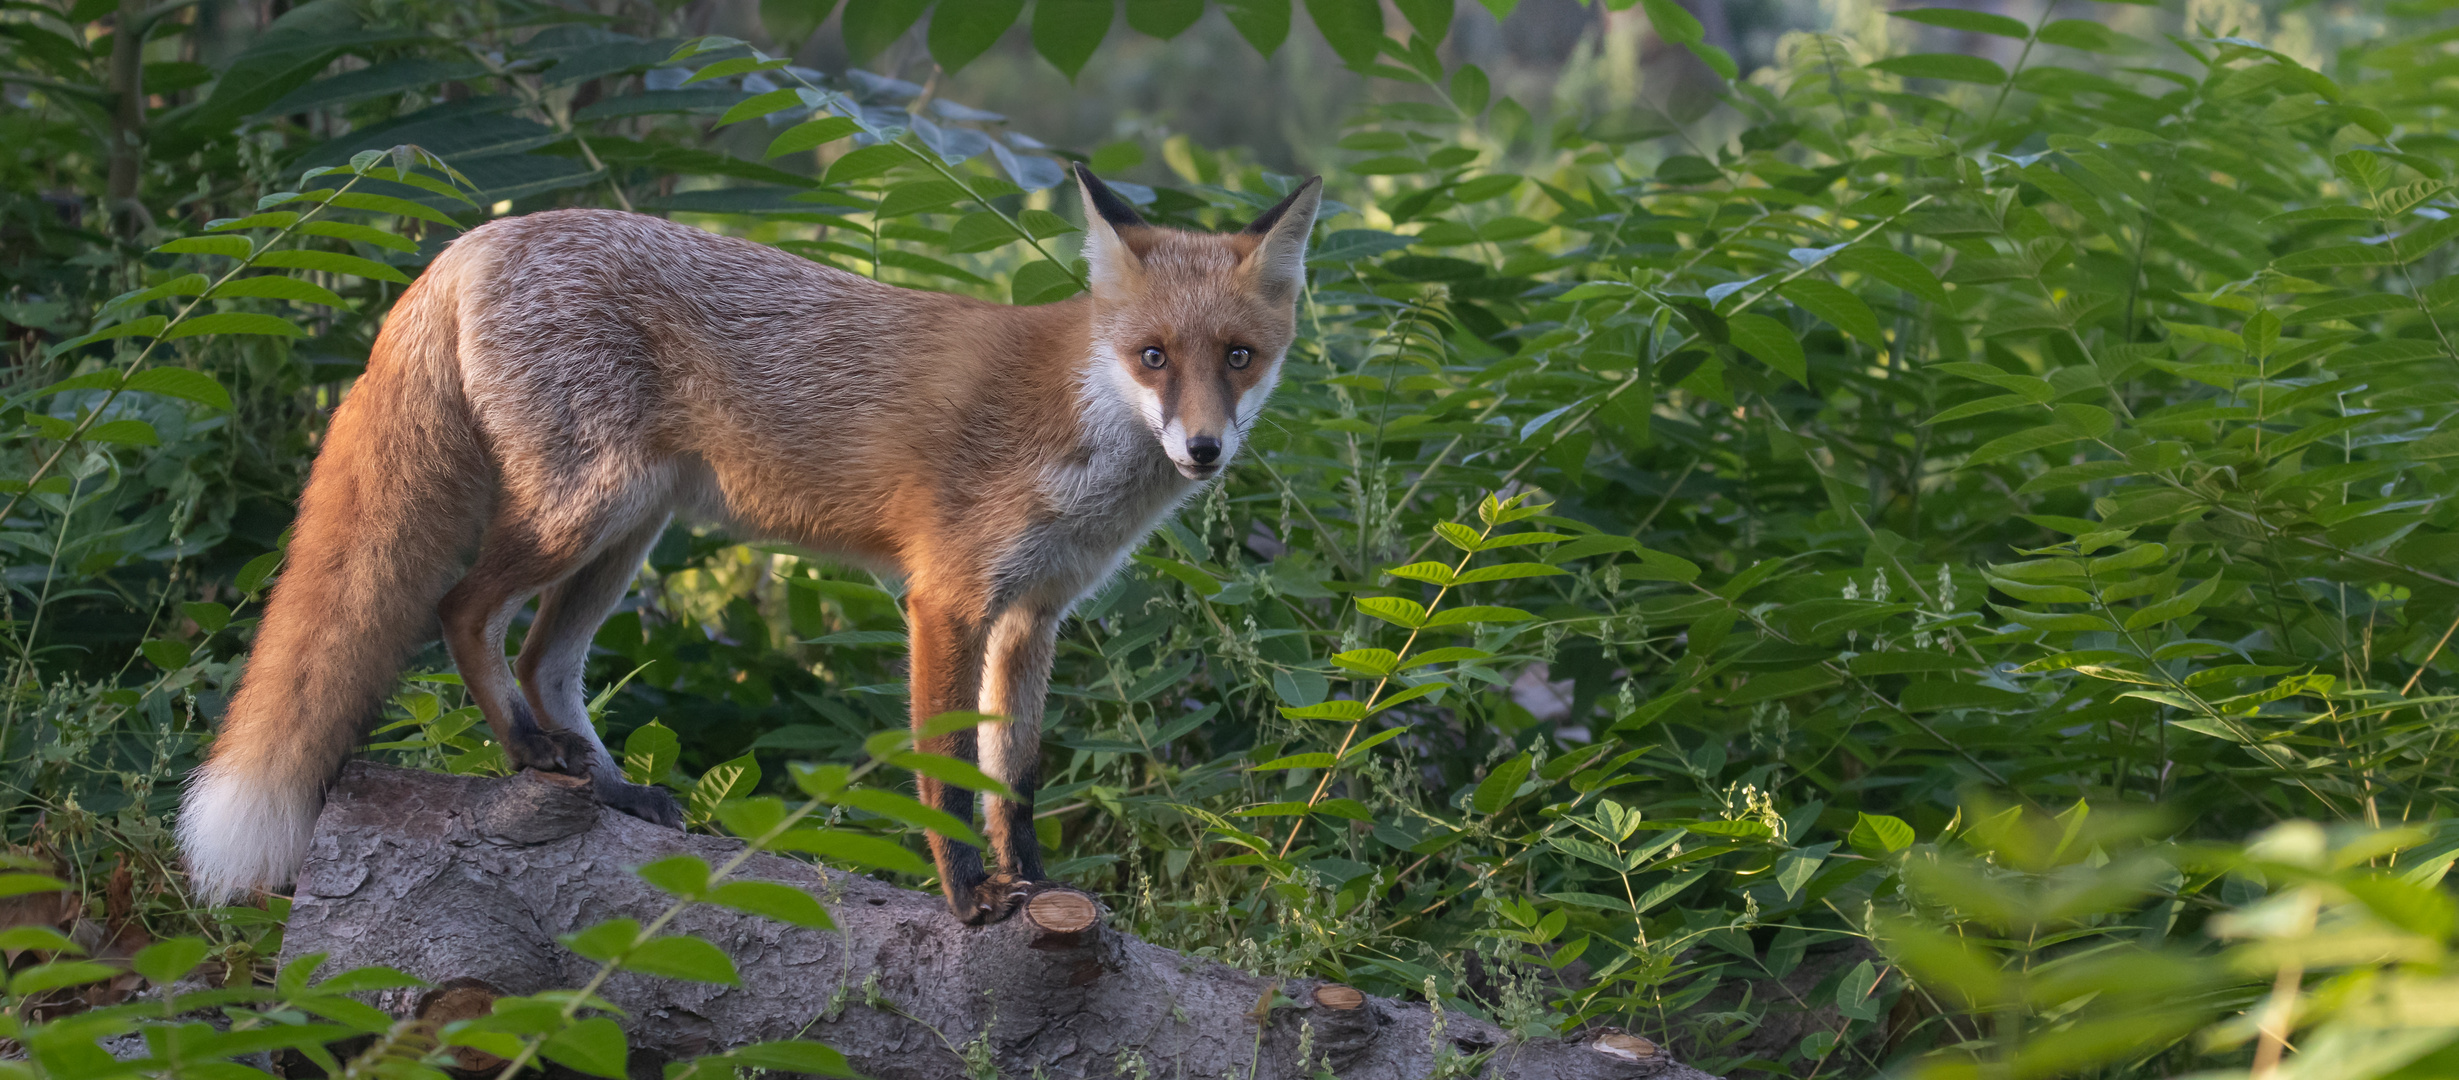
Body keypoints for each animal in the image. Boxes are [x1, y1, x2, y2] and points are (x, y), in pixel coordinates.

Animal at [179, 167, 1318, 920]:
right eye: (1153, 357)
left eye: (1238, 357)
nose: (1204, 450)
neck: (1081, 428)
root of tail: (473, 241)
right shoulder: (947, 599)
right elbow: (948, 775)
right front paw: (966, 898)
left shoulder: (1032, 616)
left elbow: (1017, 778)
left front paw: (1033, 888)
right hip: (583, 511)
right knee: (462, 610)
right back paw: (531, 759)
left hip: (626, 531)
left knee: (547, 661)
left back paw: (609, 789)